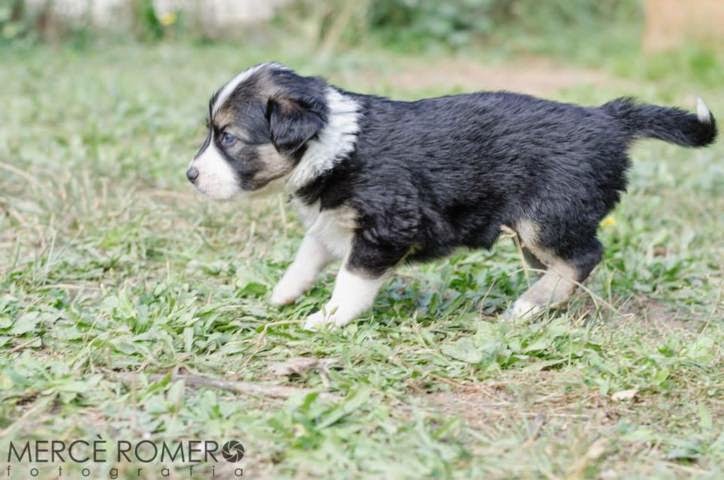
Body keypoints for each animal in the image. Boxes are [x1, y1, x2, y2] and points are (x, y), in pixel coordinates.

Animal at [184, 62, 716, 328]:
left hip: (547, 216)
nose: (190, 175)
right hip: (537, 229)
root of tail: (607, 118)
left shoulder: (386, 225)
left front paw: (329, 318)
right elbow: (307, 257)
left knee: (584, 256)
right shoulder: (334, 220)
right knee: (566, 265)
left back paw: (527, 307)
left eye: (228, 137)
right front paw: (281, 295)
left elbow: (351, 279)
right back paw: (545, 303)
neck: (332, 142)